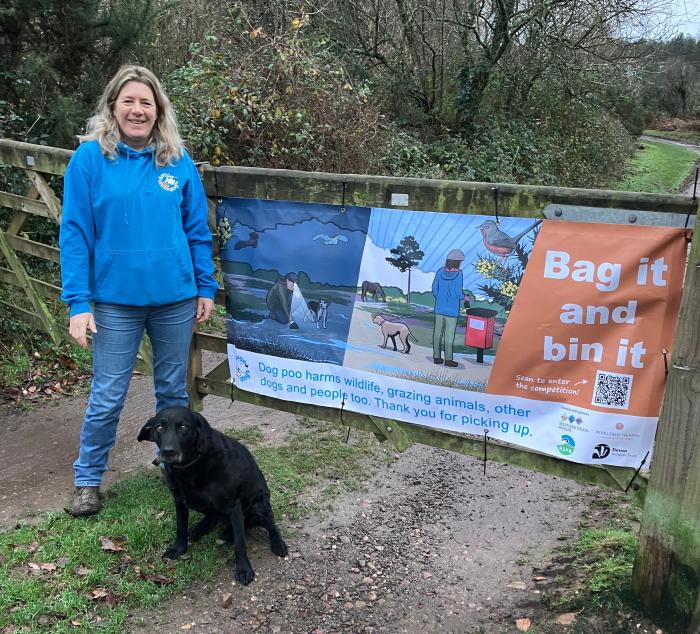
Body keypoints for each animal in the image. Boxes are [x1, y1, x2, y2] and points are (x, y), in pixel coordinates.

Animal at [138, 404, 286, 584]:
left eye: (184, 427)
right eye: (159, 427)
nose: (168, 452)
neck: (190, 467)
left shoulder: (233, 506)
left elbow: (240, 543)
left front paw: (244, 569)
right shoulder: (179, 501)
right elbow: (181, 528)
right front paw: (178, 549)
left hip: (259, 506)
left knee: (270, 525)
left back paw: (276, 543)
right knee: (214, 516)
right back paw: (201, 528)